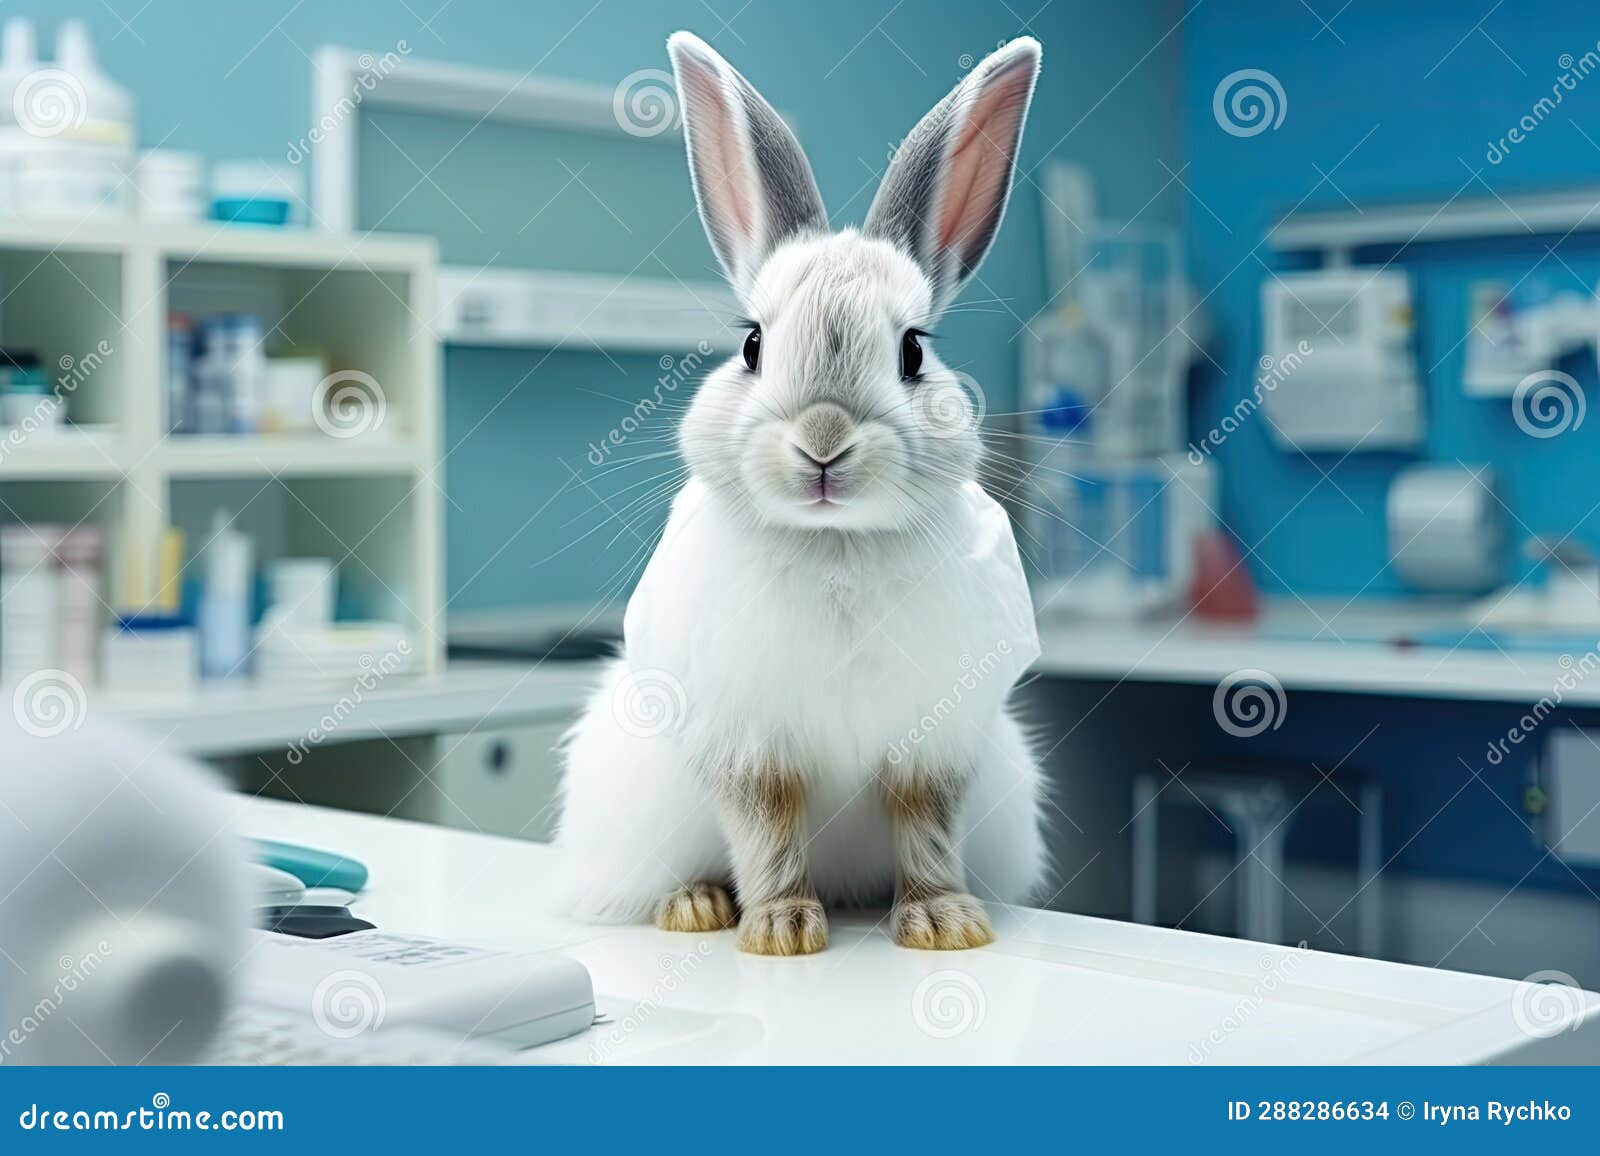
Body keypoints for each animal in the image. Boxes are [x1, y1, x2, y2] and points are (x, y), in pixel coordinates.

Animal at [555, 31, 1047, 955]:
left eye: (913, 352)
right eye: (752, 344)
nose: (823, 441)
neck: (836, 540)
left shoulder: (935, 743)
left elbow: (925, 823)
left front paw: (944, 925)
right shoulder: (748, 741)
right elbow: (767, 824)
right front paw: (782, 932)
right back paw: (697, 906)